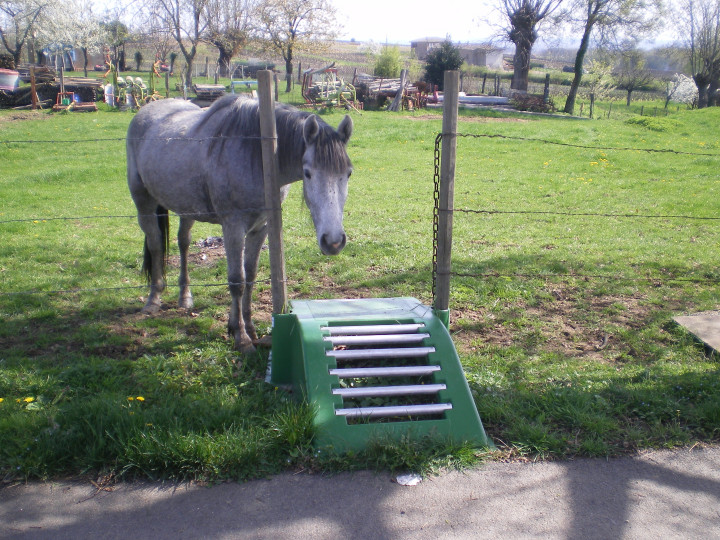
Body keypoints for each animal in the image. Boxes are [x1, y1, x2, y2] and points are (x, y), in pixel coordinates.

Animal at [129, 95, 354, 352]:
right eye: (307, 173)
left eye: (348, 173)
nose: (333, 241)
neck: (258, 155)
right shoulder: (233, 227)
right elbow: (237, 280)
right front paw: (241, 337)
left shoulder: (261, 228)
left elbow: (251, 275)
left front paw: (249, 326)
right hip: (143, 202)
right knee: (156, 244)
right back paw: (153, 299)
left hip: (186, 208)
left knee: (183, 243)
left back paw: (185, 297)